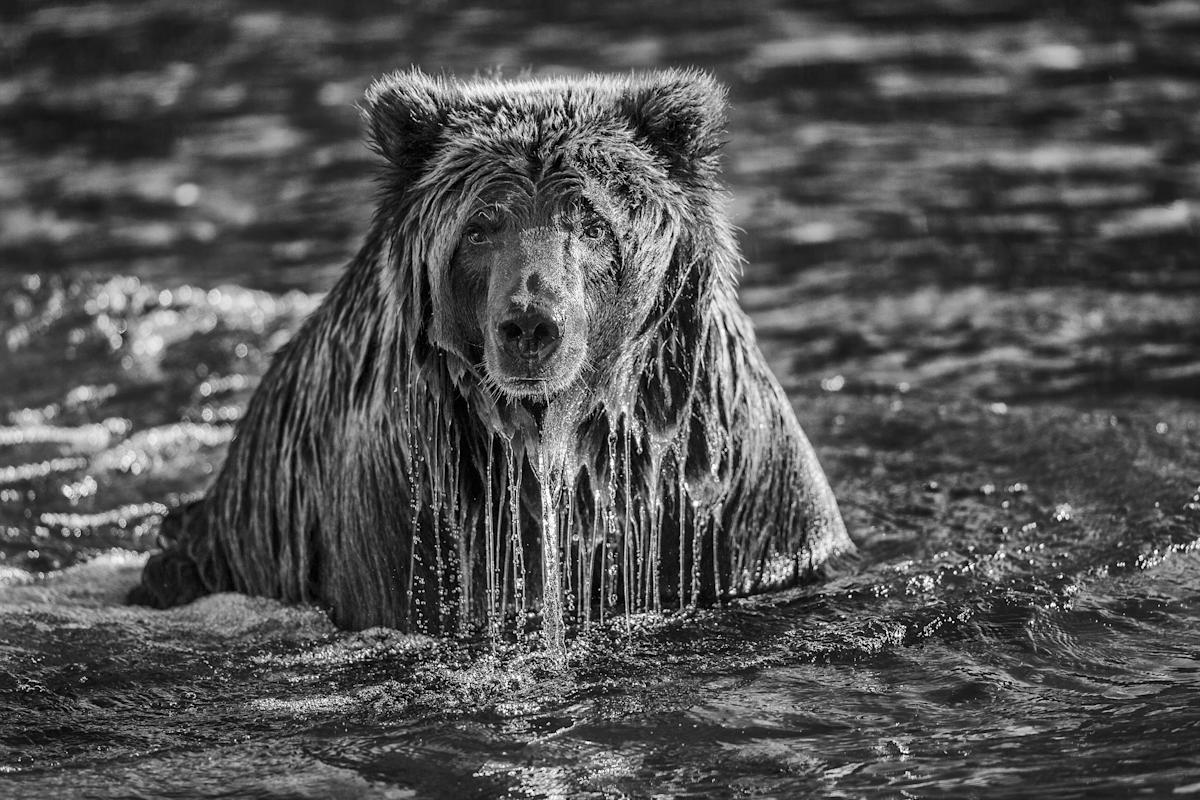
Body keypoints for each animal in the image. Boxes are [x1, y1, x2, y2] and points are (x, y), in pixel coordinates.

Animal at [131, 68, 854, 642]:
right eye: (480, 227)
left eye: (592, 221)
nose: (530, 324)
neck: (559, 449)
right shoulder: (416, 523)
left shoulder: (728, 505)